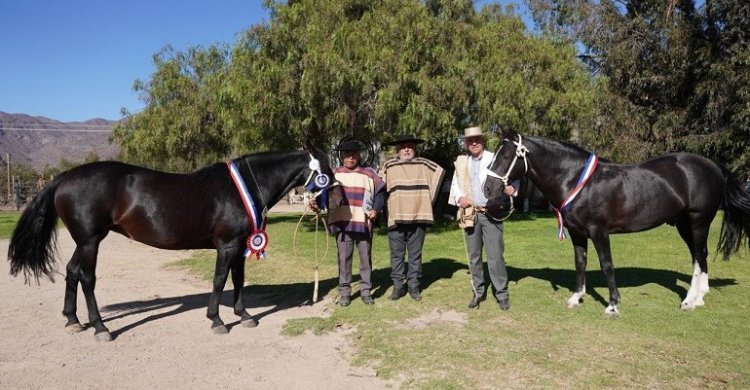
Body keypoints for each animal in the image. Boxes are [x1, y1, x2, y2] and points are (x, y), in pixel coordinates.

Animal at [7, 145, 342, 340]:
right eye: (325, 170)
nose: (335, 195)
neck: (243, 187)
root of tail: (63, 178)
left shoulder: (242, 245)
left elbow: (238, 279)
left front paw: (244, 315)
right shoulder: (228, 245)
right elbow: (220, 279)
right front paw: (216, 320)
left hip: (84, 242)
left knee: (72, 272)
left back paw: (73, 320)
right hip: (90, 241)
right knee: (87, 278)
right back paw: (101, 328)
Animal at [482, 129, 750, 316]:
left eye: (507, 156)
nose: (487, 188)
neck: (575, 180)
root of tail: (713, 166)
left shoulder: (599, 231)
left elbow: (606, 265)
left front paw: (612, 304)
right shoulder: (578, 233)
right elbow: (580, 263)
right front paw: (576, 298)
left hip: (698, 222)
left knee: (700, 256)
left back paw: (691, 300)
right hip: (684, 224)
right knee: (698, 256)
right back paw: (697, 298)